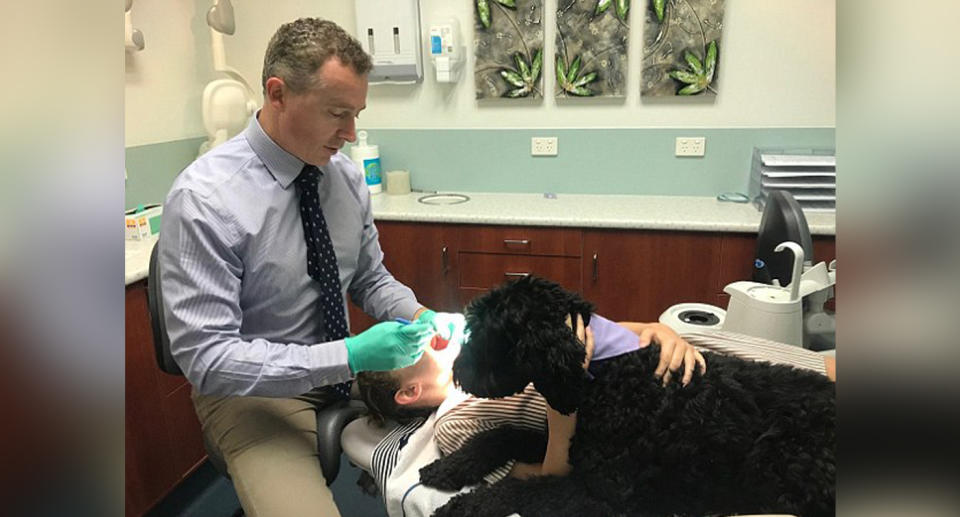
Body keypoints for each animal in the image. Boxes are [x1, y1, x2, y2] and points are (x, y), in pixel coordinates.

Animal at [420, 276, 832, 512]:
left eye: (485, 334)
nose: (457, 373)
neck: (610, 375)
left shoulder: (610, 495)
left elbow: (524, 490)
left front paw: (468, 505)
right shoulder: (569, 446)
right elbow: (502, 434)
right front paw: (449, 467)